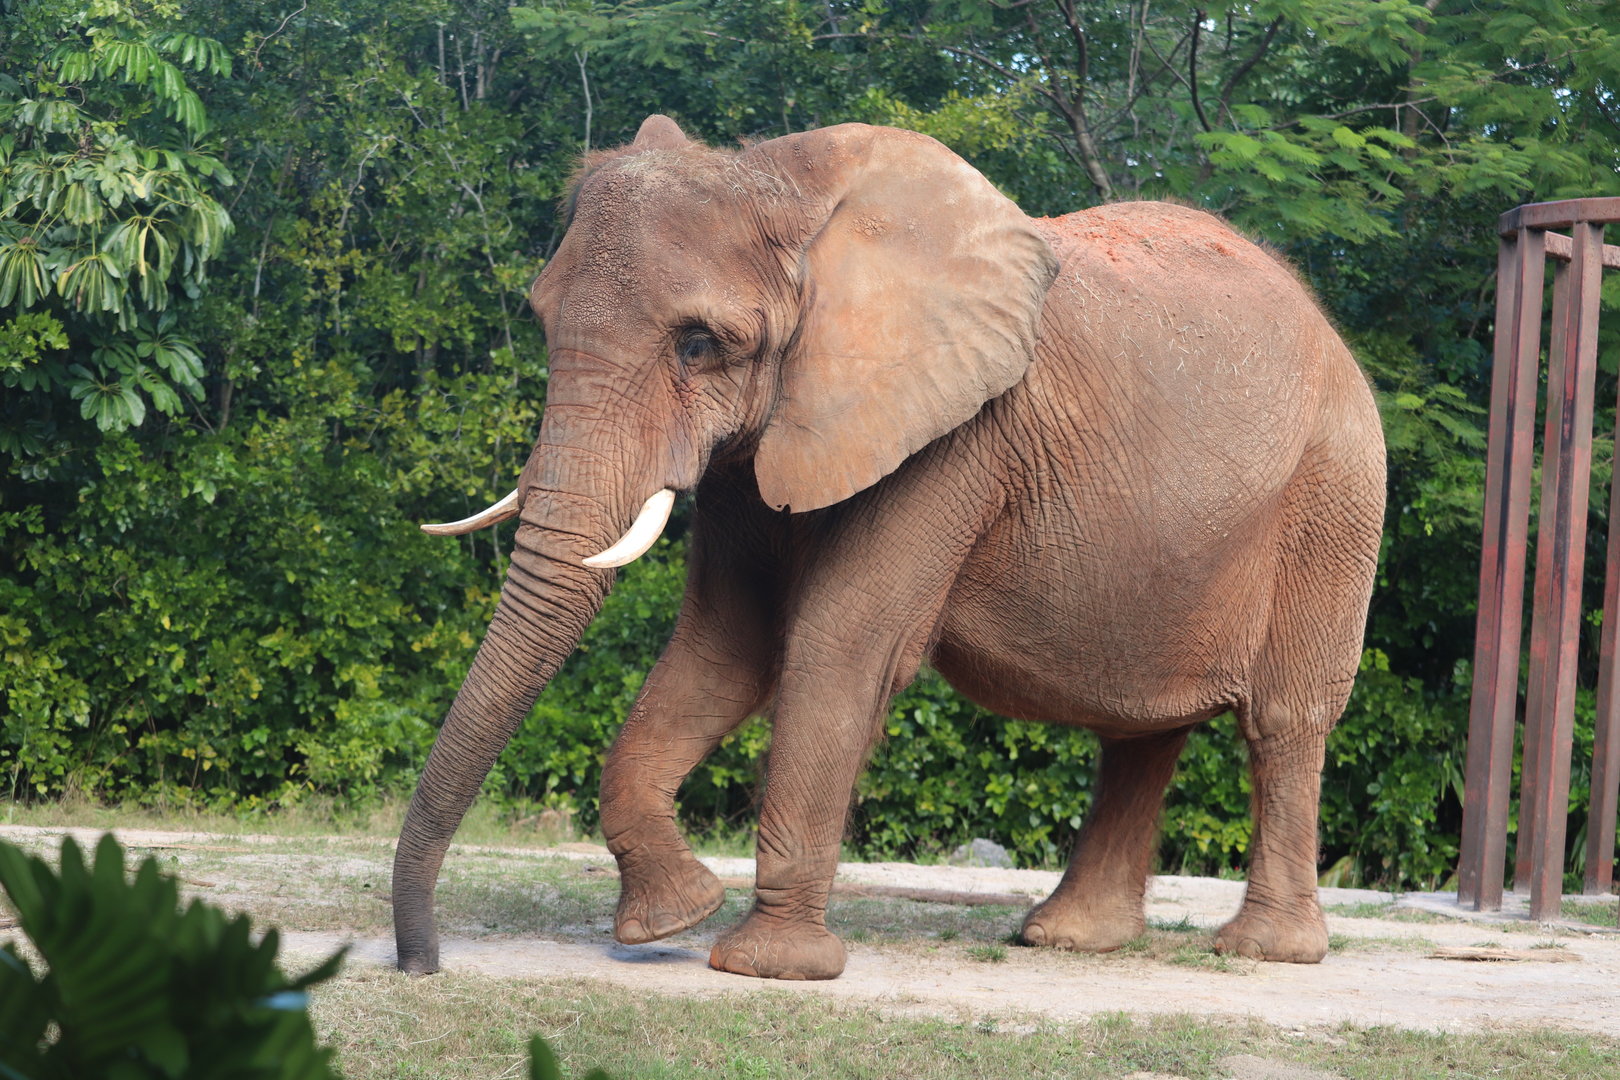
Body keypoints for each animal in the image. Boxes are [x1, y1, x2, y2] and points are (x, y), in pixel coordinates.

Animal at [391, 115, 1386, 981]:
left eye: (700, 344)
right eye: (541, 320)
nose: (422, 964)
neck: (786, 185)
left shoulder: (957, 440)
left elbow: (841, 644)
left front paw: (769, 968)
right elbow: (726, 646)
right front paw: (672, 917)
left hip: (1335, 496)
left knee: (1285, 719)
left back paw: (1263, 951)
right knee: (1139, 730)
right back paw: (1067, 939)